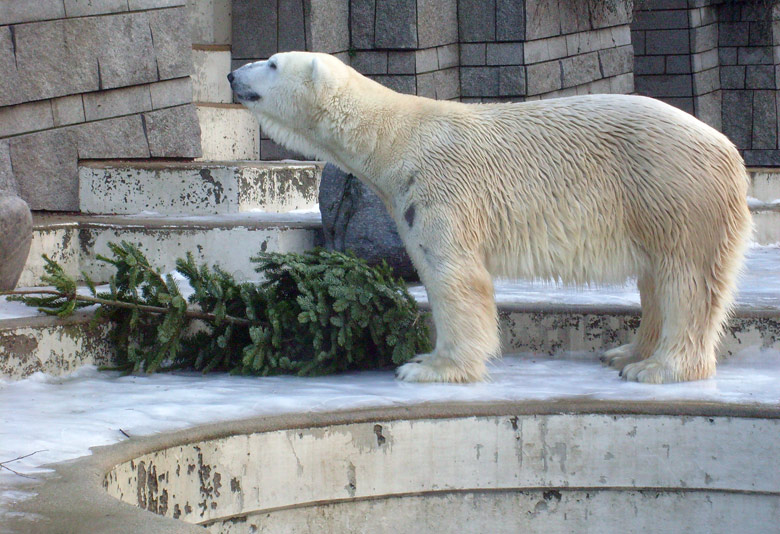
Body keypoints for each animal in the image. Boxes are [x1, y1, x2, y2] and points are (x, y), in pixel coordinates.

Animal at [229, 51, 752, 386]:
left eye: (272, 63)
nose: (233, 75)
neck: (395, 138)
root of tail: (729, 151)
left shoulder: (440, 188)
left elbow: (455, 277)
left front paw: (429, 367)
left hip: (672, 190)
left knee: (685, 280)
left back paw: (658, 368)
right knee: (655, 278)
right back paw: (627, 351)